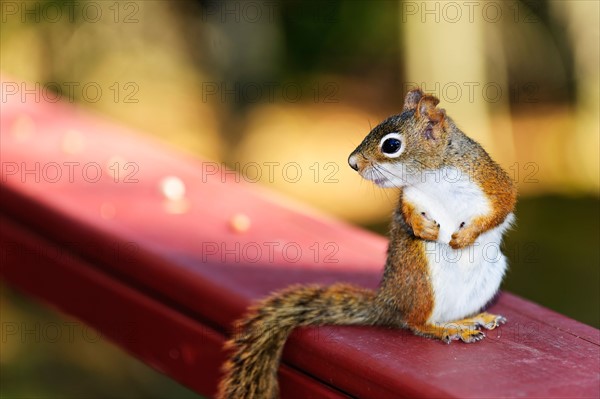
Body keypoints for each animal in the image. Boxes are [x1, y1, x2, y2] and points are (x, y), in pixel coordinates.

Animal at [218, 89, 516, 398]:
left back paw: (468, 320)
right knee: (415, 323)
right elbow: (408, 213)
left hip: (486, 275)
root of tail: (389, 302)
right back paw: (447, 329)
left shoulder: (489, 181)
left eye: (392, 145)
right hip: (421, 277)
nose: (353, 162)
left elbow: (503, 204)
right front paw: (421, 227)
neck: (433, 175)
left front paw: (465, 236)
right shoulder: (411, 195)